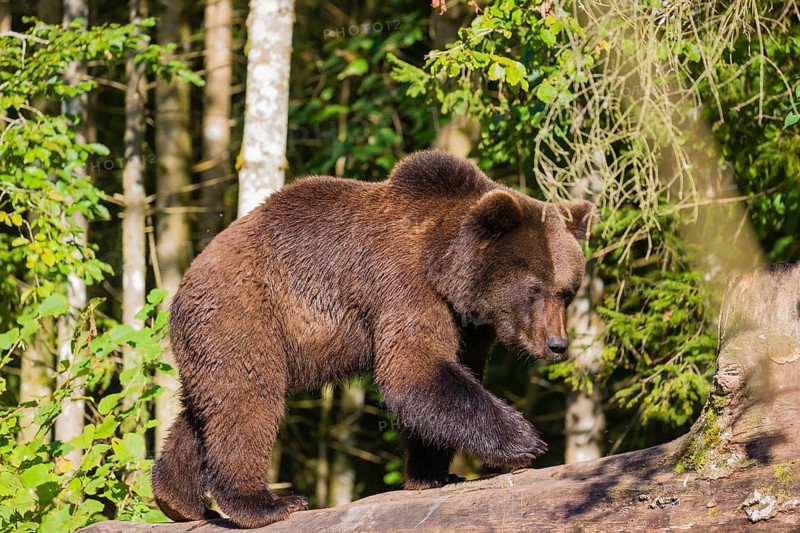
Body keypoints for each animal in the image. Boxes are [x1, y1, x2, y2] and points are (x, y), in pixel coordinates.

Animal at [151, 150, 594, 528]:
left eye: (567, 291)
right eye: (534, 288)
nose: (557, 344)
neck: (446, 268)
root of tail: (187, 277)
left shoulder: (468, 325)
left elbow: (450, 375)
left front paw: (433, 474)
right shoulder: (404, 288)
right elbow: (413, 371)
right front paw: (526, 441)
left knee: (206, 405)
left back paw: (176, 499)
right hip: (246, 311)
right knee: (247, 397)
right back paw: (265, 503)